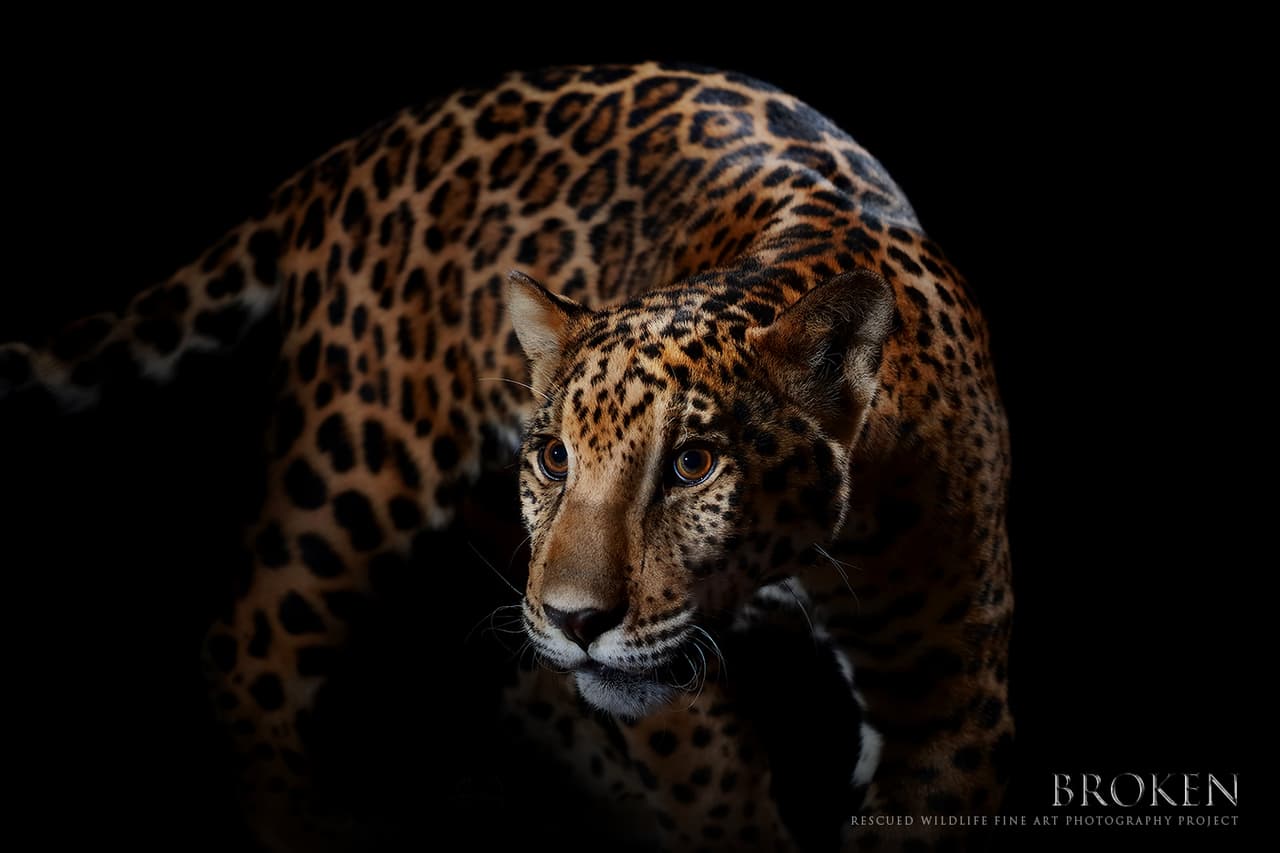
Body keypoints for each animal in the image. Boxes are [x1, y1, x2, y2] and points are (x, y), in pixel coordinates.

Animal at [0, 62, 1012, 851]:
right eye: (556, 458)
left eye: (692, 464)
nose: (575, 619)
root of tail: (351, 153)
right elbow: (710, 783)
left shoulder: (948, 696)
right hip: (359, 457)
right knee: (249, 644)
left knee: (529, 694)